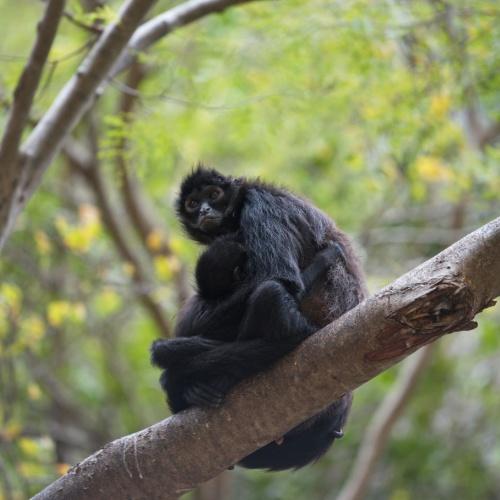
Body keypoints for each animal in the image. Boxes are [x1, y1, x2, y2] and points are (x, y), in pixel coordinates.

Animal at [150, 166, 366, 470]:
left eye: (213, 195)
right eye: (193, 203)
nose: (204, 209)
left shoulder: (261, 206)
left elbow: (279, 279)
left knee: (269, 292)